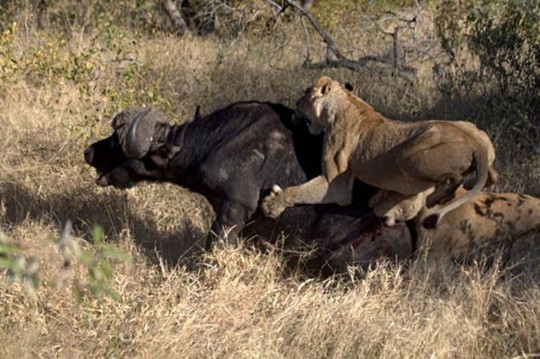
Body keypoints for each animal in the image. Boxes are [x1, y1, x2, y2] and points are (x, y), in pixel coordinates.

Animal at [262, 75, 498, 228]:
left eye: (305, 94)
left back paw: (431, 197)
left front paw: (272, 205)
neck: (346, 102)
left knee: (455, 178)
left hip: (406, 156)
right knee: (493, 177)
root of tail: (474, 143)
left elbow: (298, 191)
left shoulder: (335, 186)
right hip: (479, 138)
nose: (296, 103)